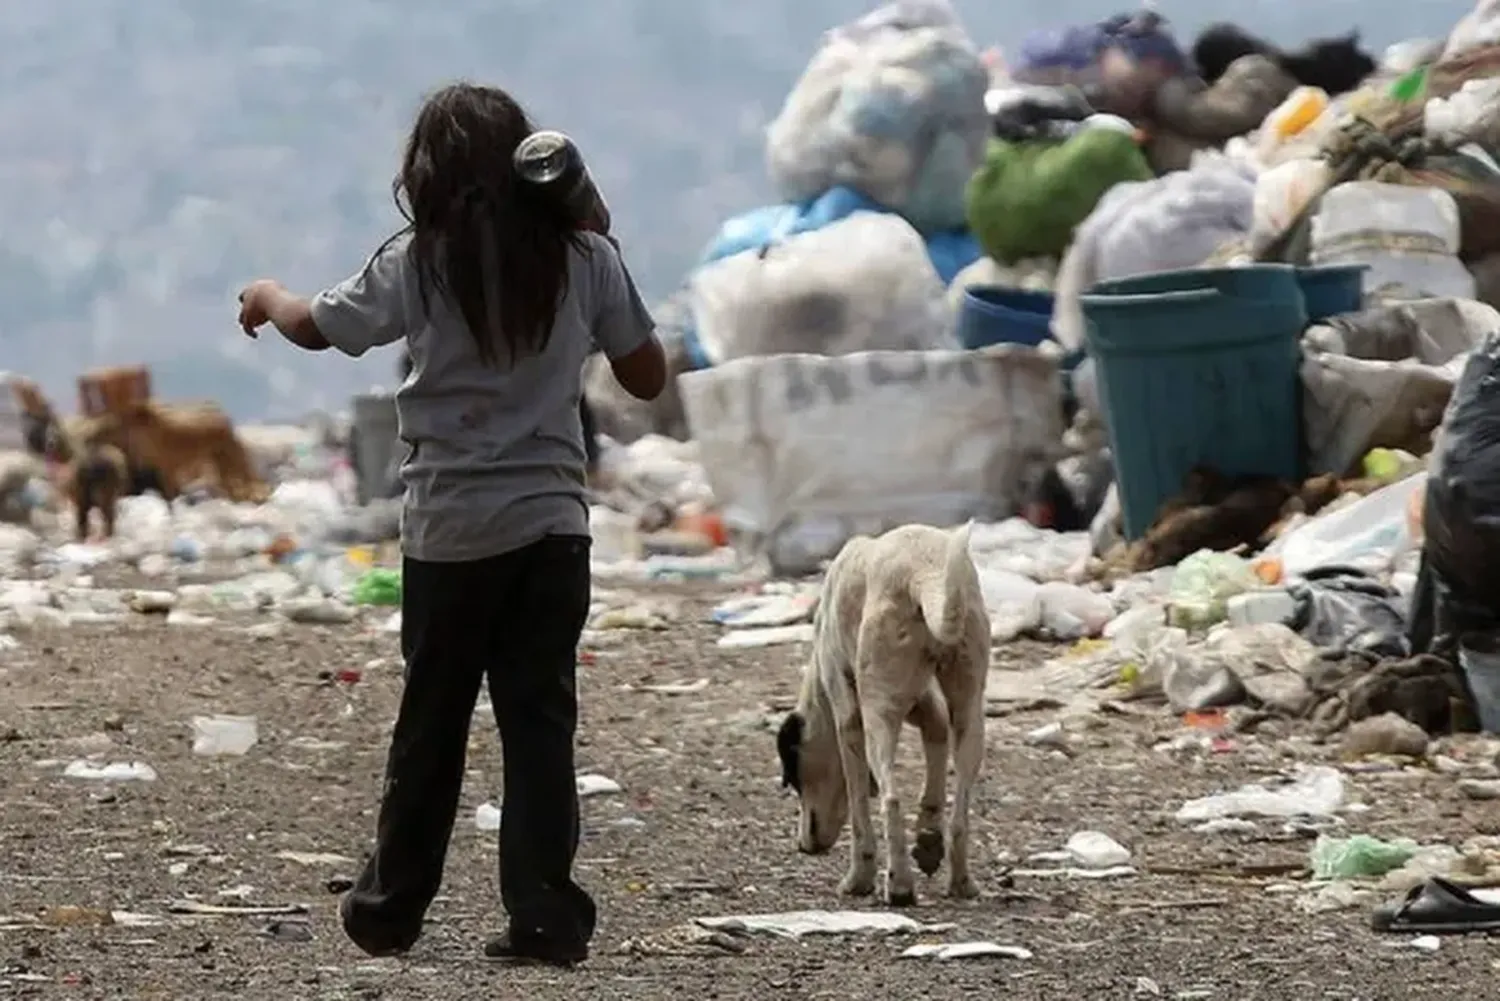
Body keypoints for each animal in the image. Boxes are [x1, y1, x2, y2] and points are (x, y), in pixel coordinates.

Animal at [780, 525, 990, 906]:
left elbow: (859, 805)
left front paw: (858, 878)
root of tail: (924, 571)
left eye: (793, 778)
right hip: (970, 709)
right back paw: (960, 881)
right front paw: (928, 838)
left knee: (891, 799)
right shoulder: (927, 705)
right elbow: (936, 739)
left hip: (878, 713)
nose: (803, 847)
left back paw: (900, 884)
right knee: (960, 811)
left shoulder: (849, 720)